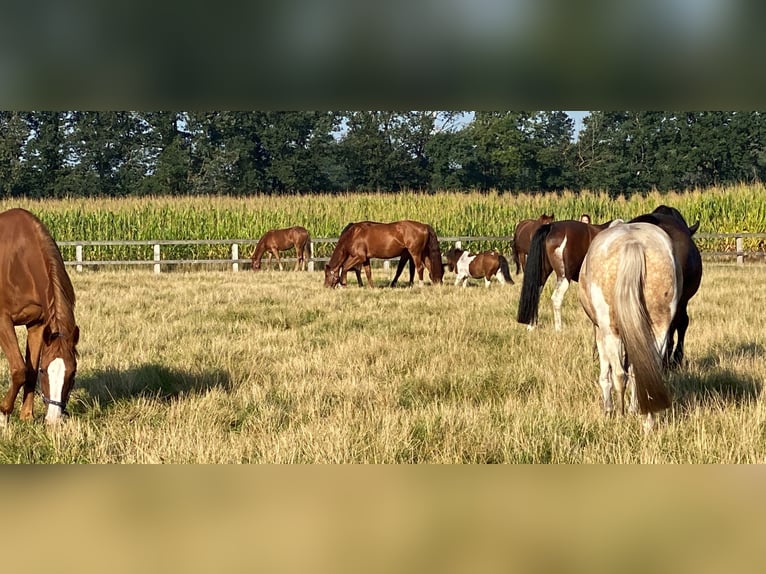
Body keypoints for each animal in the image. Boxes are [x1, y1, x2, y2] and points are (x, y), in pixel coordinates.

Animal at [0, 208, 79, 425]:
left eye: (72, 372)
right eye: (46, 371)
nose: (53, 419)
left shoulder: (37, 325)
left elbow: (30, 370)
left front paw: (26, 416)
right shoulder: (3, 321)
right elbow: (19, 369)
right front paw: (3, 412)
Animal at [578, 220, 682, 430]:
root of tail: (633, 243)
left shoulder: (600, 333)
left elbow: (606, 373)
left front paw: (608, 409)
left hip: (611, 331)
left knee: (619, 374)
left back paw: (621, 414)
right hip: (659, 327)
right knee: (647, 370)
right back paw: (647, 421)